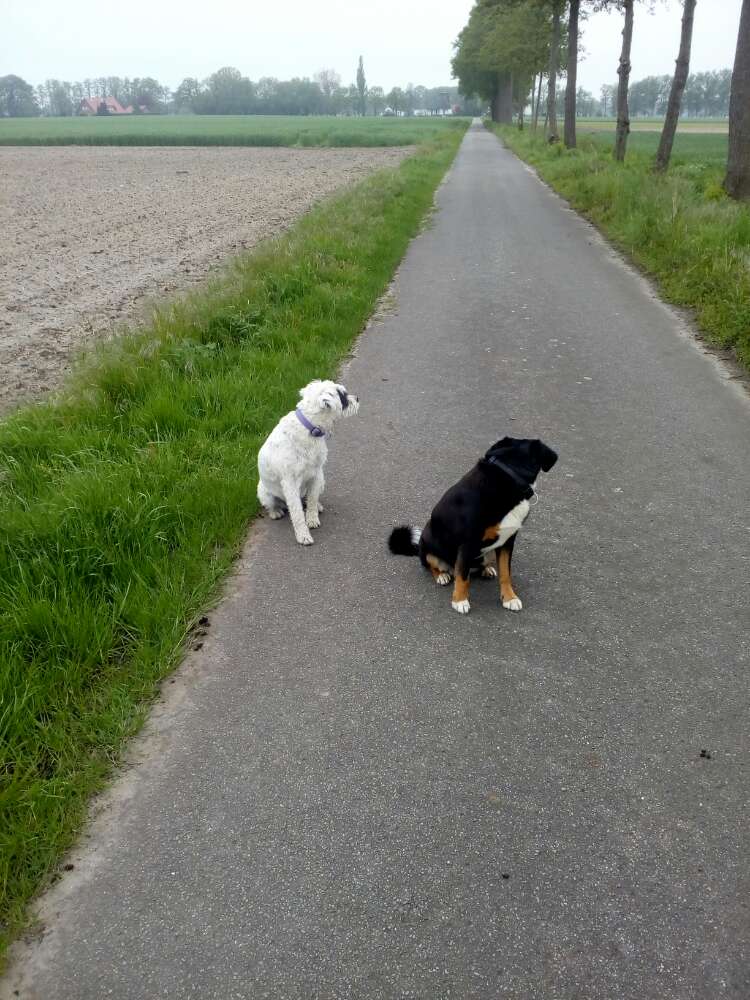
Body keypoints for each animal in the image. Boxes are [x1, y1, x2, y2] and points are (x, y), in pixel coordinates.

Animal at [258, 376, 360, 548]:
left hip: (322, 481)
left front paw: (312, 518)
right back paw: (275, 512)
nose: (358, 399)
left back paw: (317, 506)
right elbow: (297, 514)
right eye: (343, 396)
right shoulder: (290, 483)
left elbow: (311, 500)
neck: (309, 429)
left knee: (309, 498)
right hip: (265, 493)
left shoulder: (316, 473)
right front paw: (303, 535)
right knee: (275, 505)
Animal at [390, 436, 556, 608]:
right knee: (434, 566)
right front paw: (460, 601)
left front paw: (510, 598)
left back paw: (486, 569)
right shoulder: (467, 543)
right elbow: (462, 577)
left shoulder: (507, 541)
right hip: (428, 547)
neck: (509, 476)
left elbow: (505, 573)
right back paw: (442, 576)